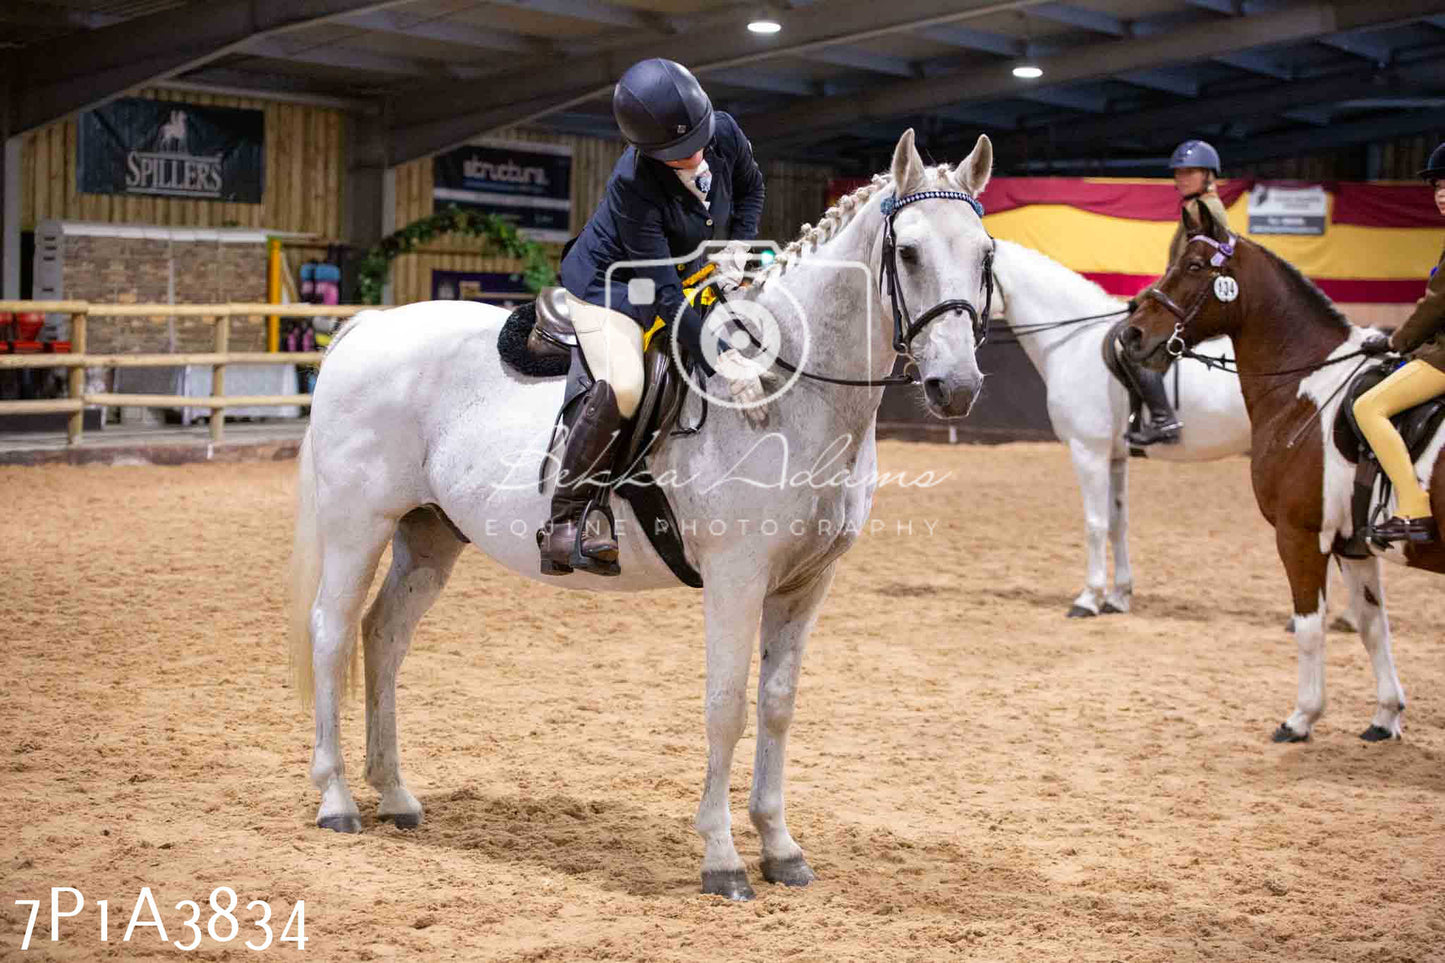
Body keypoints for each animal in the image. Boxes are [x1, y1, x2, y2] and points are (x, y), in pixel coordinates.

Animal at [287, 129, 999, 902]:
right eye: (909, 252)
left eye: (986, 254)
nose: (956, 387)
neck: (787, 388)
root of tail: (367, 326)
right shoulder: (736, 577)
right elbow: (727, 704)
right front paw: (722, 857)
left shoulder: (806, 584)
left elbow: (777, 704)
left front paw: (780, 847)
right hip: (360, 525)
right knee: (331, 633)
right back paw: (337, 799)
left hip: (428, 535)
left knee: (383, 637)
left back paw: (394, 794)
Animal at [1121, 200, 1439, 740]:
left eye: (1193, 266)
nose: (1132, 334)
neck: (1306, 384)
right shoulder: (1352, 544)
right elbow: (1373, 625)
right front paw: (1385, 715)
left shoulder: (1299, 535)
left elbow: (1309, 625)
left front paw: (1301, 717)